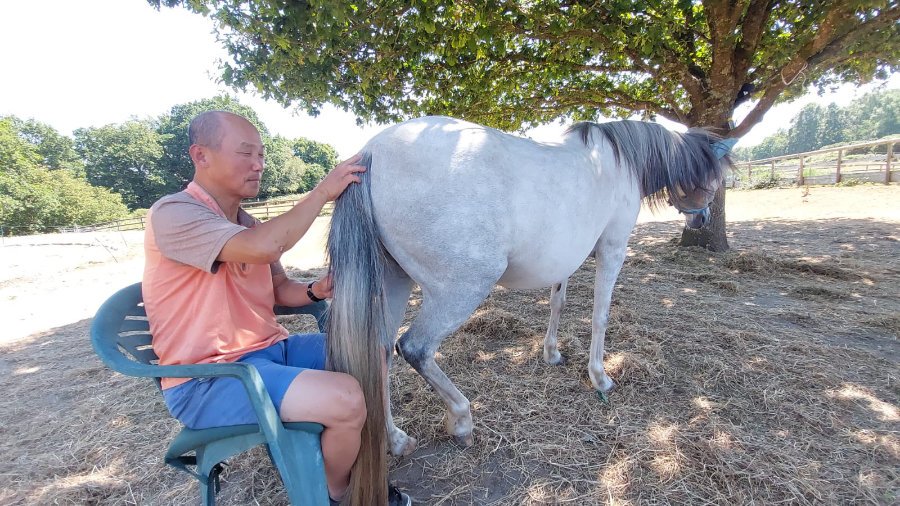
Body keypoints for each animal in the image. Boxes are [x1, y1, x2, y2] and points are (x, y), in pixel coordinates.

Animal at [325, 116, 730, 470]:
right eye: (712, 176)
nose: (703, 218)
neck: (617, 161)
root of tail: (372, 152)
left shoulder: (564, 261)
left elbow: (557, 302)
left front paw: (552, 353)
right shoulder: (612, 249)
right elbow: (600, 316)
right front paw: (600, 376)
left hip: (392, 283)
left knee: (378, 353)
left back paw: (396, 440)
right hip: (460, 289)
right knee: (415, 348)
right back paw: (461, 420)